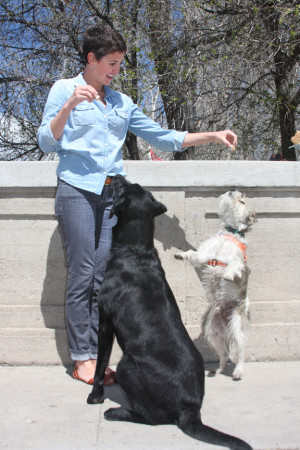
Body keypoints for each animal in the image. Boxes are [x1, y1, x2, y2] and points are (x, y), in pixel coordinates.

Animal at [176, 190, 255, 380]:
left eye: (242, 201)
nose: (233, 189)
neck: (229, 233)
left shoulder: (239, 262)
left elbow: (233, 266)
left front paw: (226, 274)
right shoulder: (205, 255)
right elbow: (193, 254)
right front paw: (181, 255)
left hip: (237, 326)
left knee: (240, 352)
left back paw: (238, 371)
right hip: (213, 333)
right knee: (224, 354)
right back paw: (218, 370)